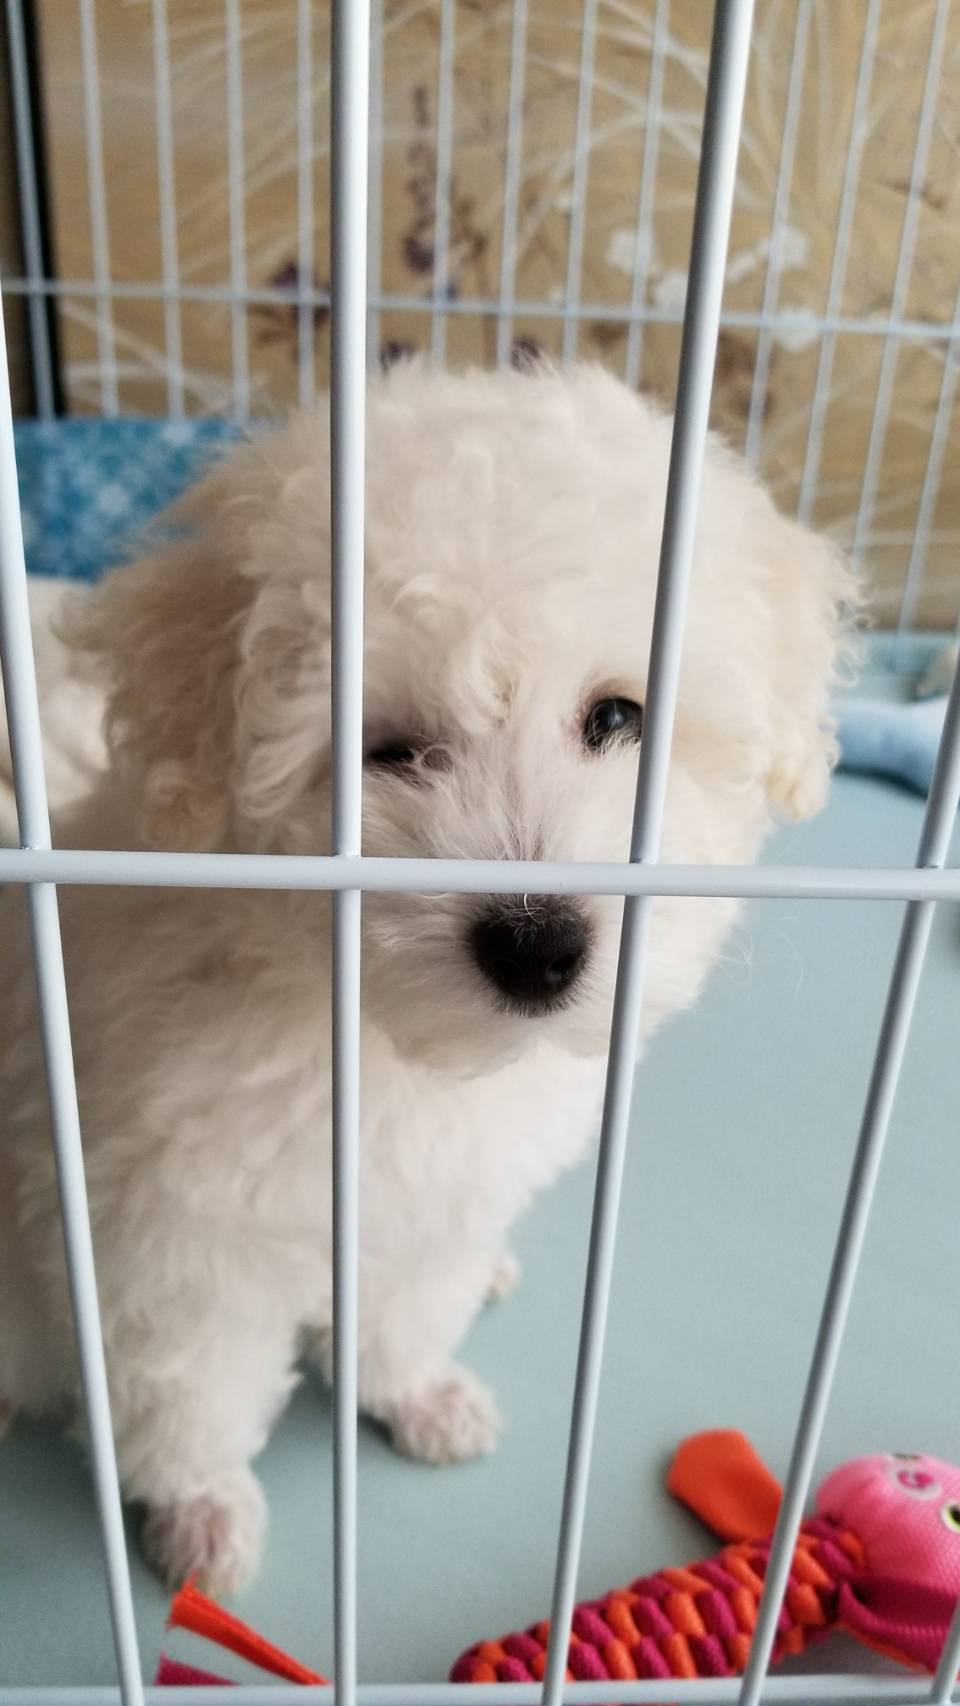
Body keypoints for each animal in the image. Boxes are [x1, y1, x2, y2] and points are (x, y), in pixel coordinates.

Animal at [0, 362, 852, 1594]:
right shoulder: (169, 1237)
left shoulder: (432, 1203)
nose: (538, 944)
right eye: (389, 750)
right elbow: (191, 1385)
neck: (381, 1040)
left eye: (617, 715)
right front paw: (205, 1517)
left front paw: (419, 1395)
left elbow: (407, 1307)